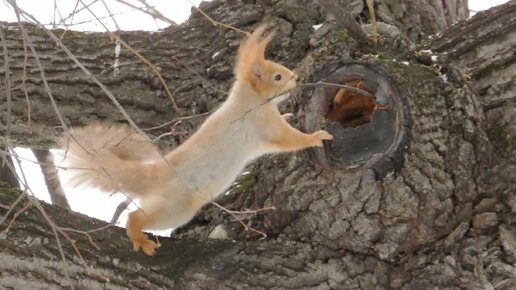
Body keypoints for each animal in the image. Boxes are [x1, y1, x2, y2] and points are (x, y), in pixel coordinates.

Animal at [55, 24, 330, 256]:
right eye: (277, 77)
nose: (297, 78)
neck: (248, 99)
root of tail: (155, 175)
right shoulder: (262, 121)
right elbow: (288, 139)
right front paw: (315, 137)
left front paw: (288, 113)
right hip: (177, 206)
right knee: (136, 216)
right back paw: (140, 237)